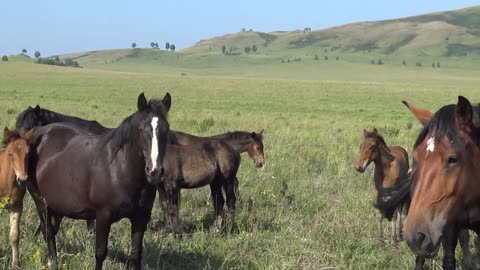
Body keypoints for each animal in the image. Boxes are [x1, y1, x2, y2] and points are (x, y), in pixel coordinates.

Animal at [23, 93, 172, 270]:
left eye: (166, 129)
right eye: (141, 130)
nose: (154, 171)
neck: (118, 169)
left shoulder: (141, 217)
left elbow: (136, 255)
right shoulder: (103, 215)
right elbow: (100, 252)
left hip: (56, 204)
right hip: (41, 202)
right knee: (49, 232)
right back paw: (53, 262)